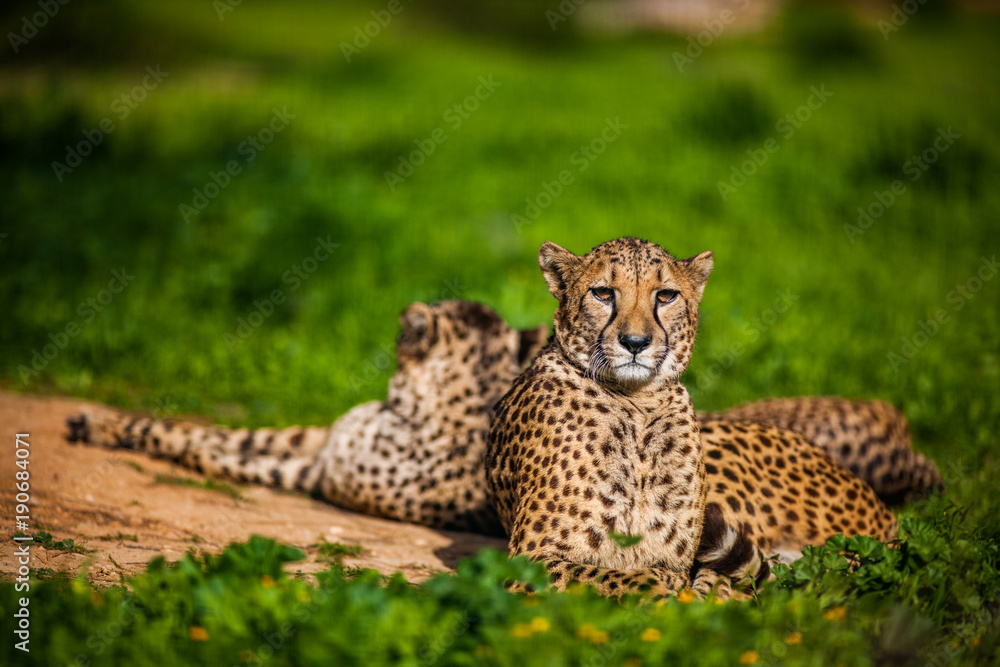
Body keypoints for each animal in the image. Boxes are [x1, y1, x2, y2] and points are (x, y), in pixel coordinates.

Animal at [486, 237, 897, 599]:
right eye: (602, 293)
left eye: (665, 295)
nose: (635, 343)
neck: (638, 402)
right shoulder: (528, 562)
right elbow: (630, 578)